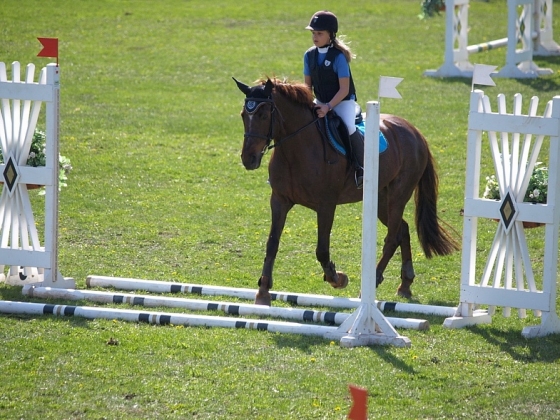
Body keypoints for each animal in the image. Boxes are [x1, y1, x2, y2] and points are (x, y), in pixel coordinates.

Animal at [234, 77, 458, 306]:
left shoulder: (326, 205)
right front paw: (262, 293)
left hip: (398, 195)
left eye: (263, 115)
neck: (297, 148)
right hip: (380, 198)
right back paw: (405, 284)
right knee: (402, 229)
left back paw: (372, 283)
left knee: (392, 238)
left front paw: (338, 278)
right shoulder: (279, 200)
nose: (248, 159)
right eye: (243, 115)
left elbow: (322, 250)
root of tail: (415, 132)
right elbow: (272, 244)